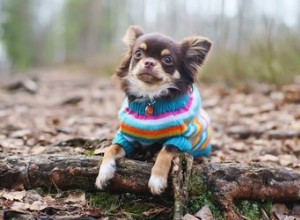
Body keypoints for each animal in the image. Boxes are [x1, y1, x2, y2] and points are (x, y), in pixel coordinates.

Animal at [95, 25, 212, 194]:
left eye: (167, 59)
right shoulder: (126, 138)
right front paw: (104, 173)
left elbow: (165, 151)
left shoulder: (180, 140)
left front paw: (157, 180)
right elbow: (111, 148)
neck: (150, 97)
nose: (149, 62)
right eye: (138, 53)